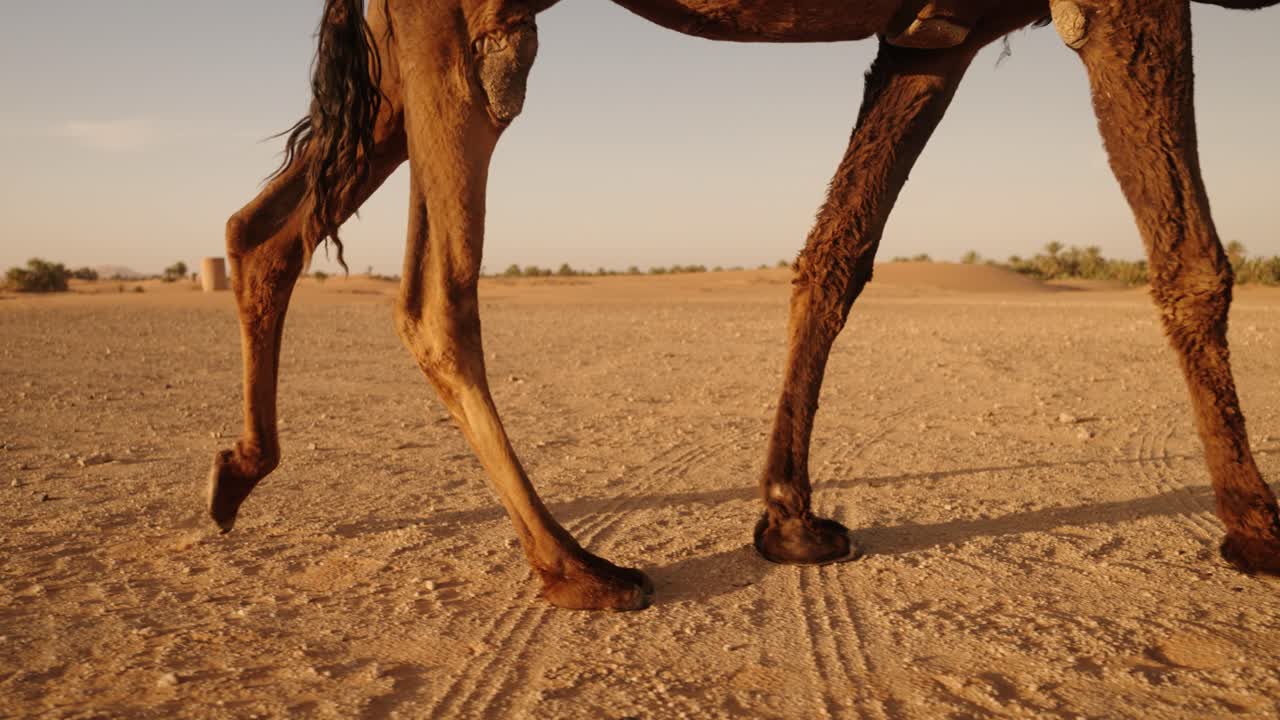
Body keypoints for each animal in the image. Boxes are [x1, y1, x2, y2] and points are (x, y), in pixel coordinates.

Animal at [210, 0, 1280, 611]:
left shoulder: (939, 34)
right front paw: (1256, 526)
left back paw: (238, 472)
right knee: (437, 295)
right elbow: (1193, 256)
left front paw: (790, 520)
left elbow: (838, 253)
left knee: (265, 229)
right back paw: (577, 569)